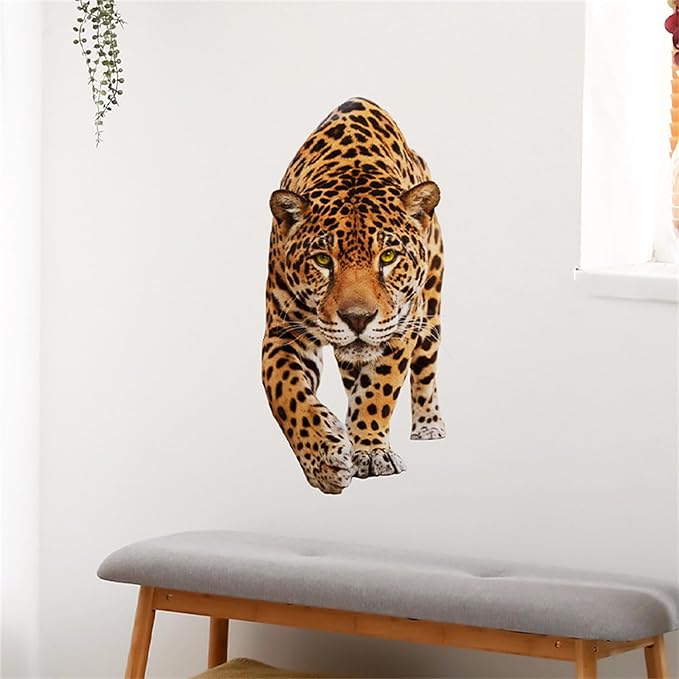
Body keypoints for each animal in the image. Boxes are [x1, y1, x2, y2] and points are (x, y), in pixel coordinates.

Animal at [261, 97, 445, 495]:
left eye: (388, 257)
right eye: (322, 260)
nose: (357, 318)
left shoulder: (400, 326)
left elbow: (379, 389)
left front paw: (371, 452)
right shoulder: (282, 332)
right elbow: (286, 394)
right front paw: (324, 459)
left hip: (431, 313)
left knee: (425, 370)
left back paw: (428, 424)